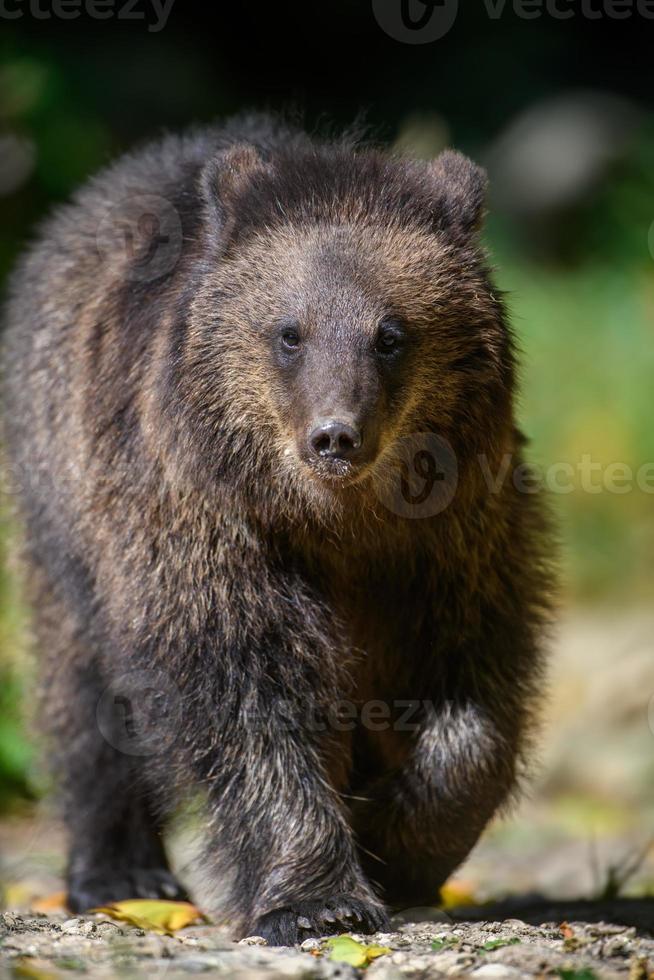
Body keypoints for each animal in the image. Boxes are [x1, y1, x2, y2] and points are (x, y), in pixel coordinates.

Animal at [1, 113, 560, 940]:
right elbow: (244, 692)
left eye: (391, 333)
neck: (339, 522)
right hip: (61, 502)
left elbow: (474, 695)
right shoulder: (202, 517)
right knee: (84, 684)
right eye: (290, 331)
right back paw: (122, 870)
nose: (335, 436)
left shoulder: (456, 538)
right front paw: (315, 898)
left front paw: (397, 841)